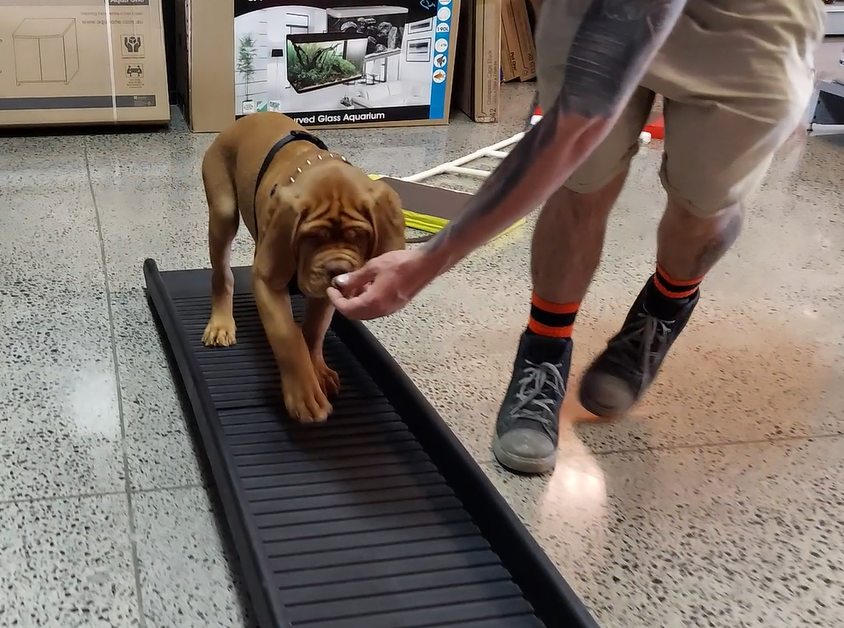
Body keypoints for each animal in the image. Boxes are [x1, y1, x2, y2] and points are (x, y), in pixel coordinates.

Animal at [200, 111, 406, 423]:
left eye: (359, 236)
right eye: (311, 237)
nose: (337, 271)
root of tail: (244, 119)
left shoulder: (324, 294)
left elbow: (313, 330)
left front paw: (317, 370)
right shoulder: (268, 281)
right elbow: (288, 336)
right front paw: (303, 394)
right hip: (223, 213)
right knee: (222, 275)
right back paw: (221, 323)